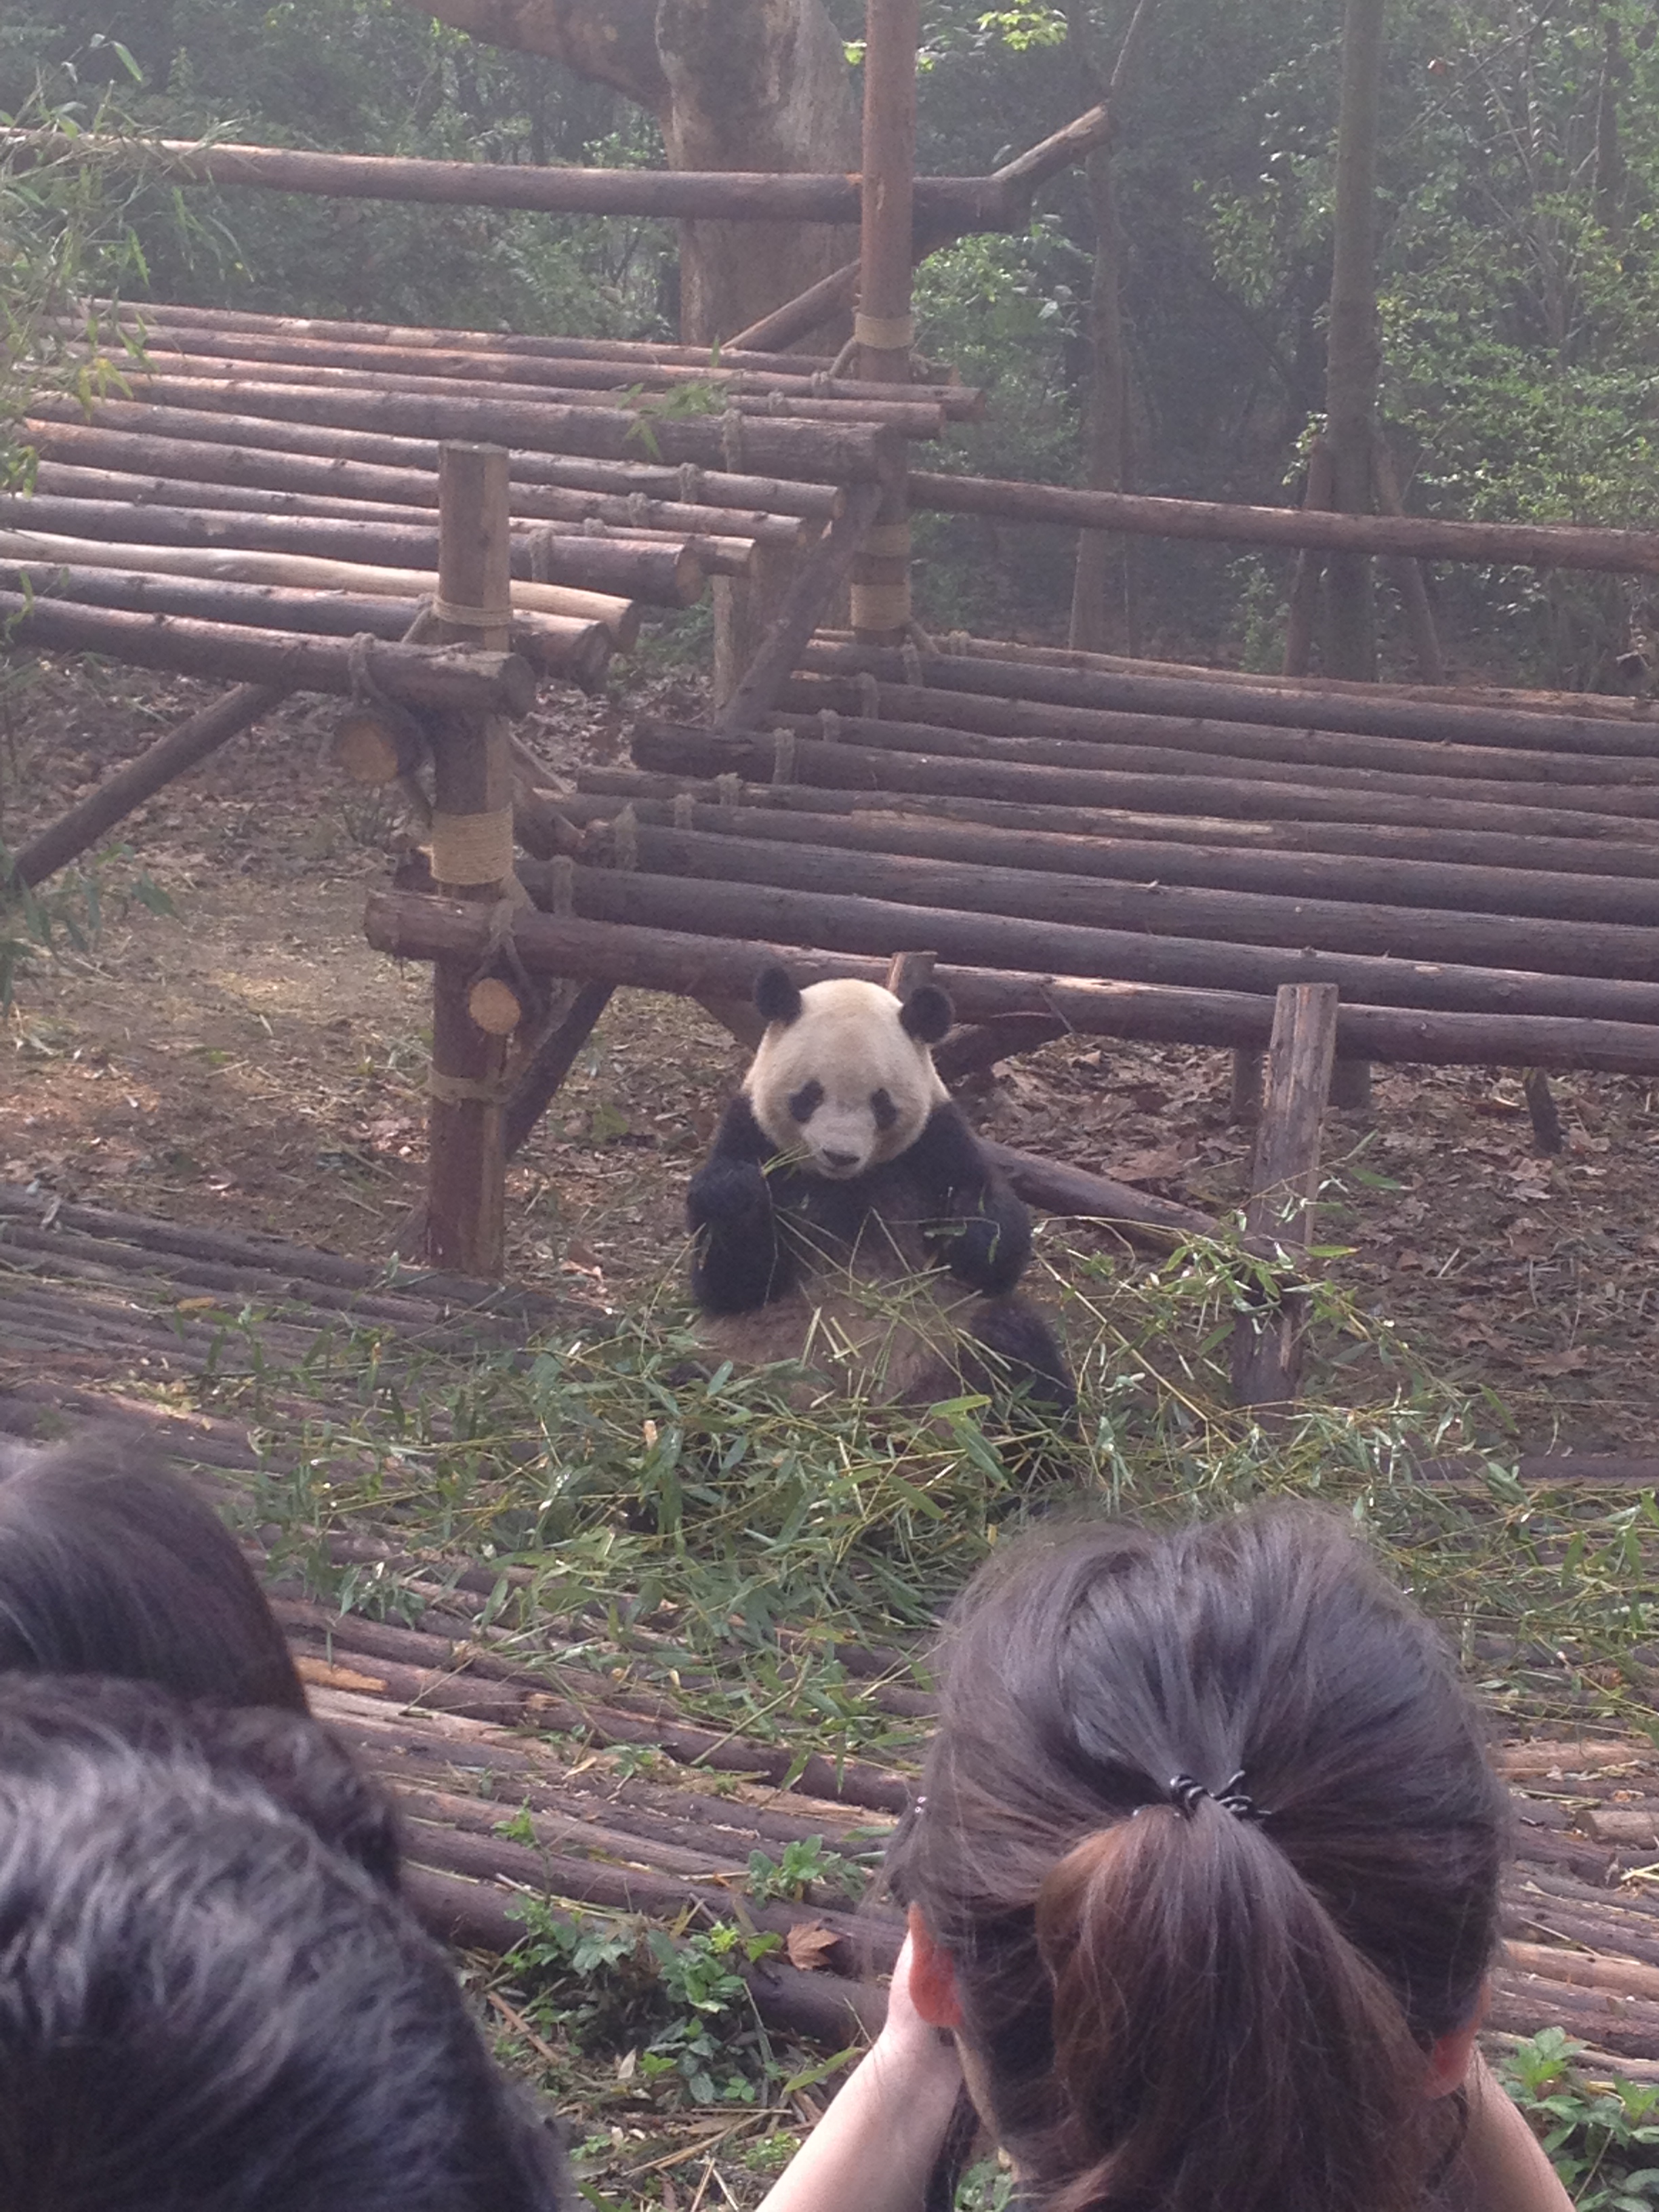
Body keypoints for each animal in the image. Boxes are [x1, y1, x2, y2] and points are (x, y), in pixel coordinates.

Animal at [685, 968, 1079, 1415]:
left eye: (881, 1103)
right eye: (810, 1095)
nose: (839, 1155)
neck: (845, 1185)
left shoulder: (936, 1141)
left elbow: (992, 1260)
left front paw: (971, 1229)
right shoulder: (749, 1133)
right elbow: (732, 1284)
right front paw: (733, 1194)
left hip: (950, 1338)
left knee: (1015, 1348)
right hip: (740, 1358)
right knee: (690, 1385)